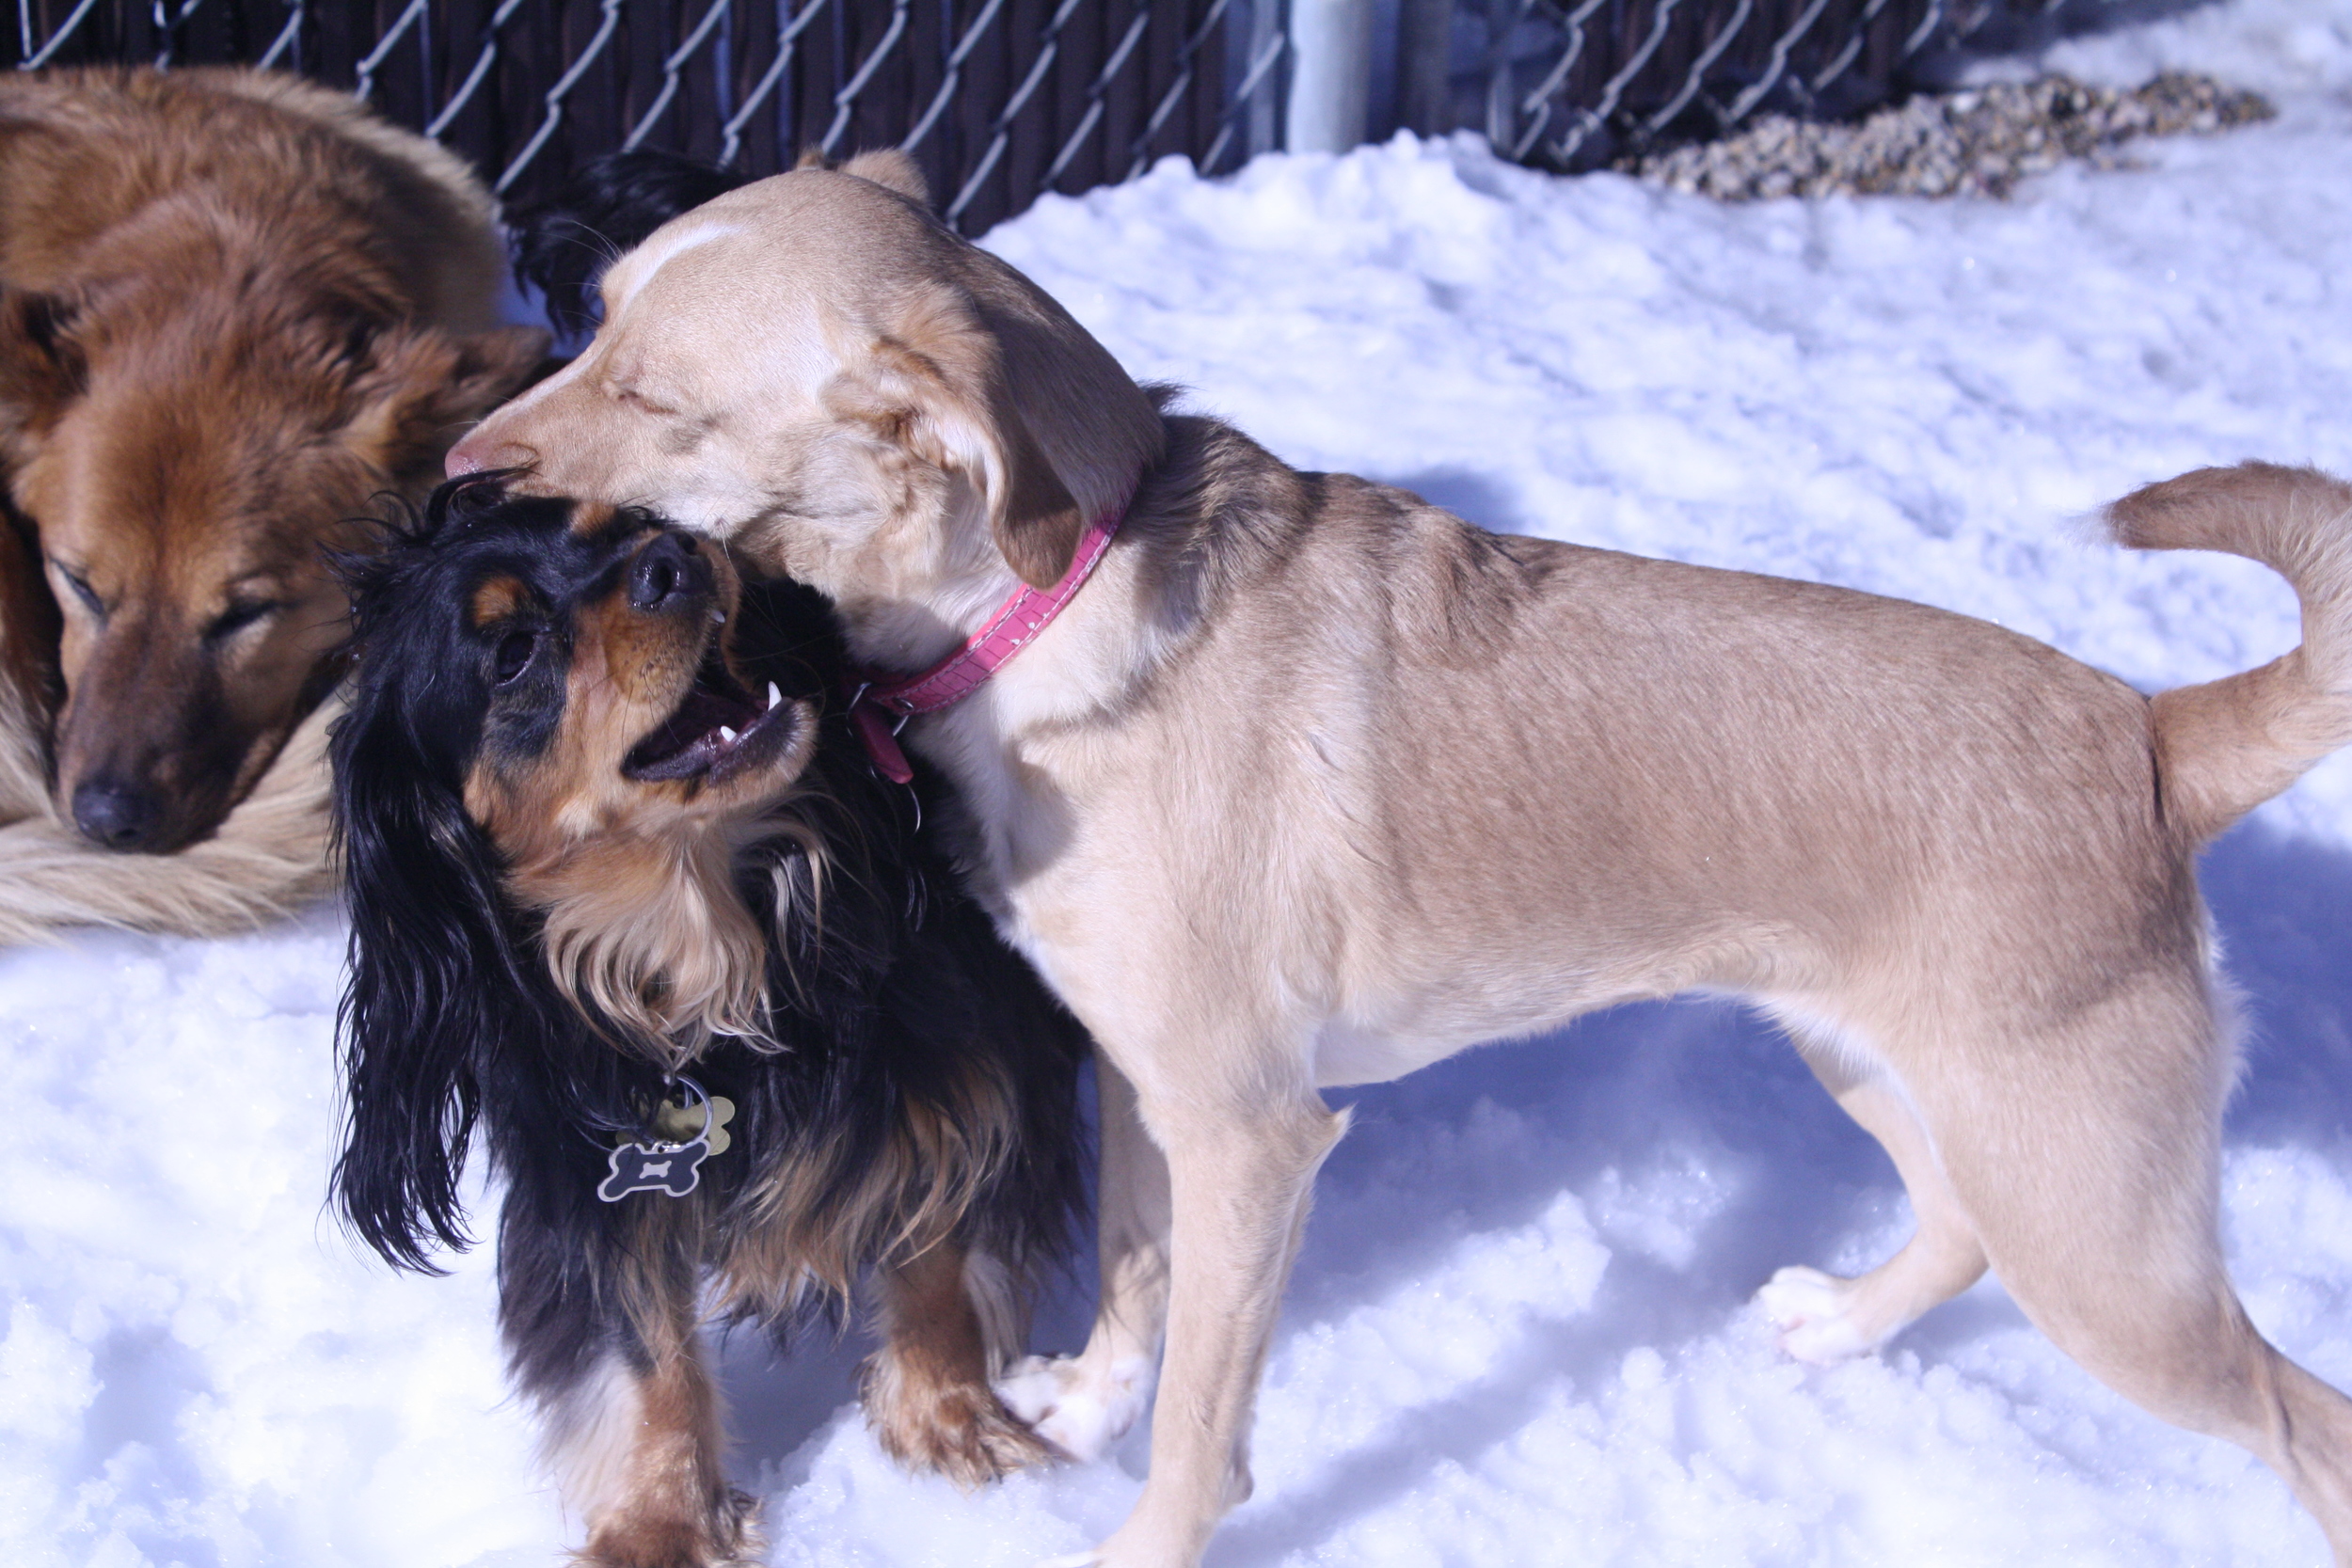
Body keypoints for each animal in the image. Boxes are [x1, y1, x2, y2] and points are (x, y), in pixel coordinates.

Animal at [326, 479, 1087, 1568]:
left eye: (625, 529)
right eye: (511, 650)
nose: (673, 559)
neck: (711, 941)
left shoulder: (966, 1067)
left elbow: (938, 1241)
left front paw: (947, 1418)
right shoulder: (591, 1172)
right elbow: (642, 1353)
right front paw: (663, 1524)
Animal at [449, 162, 2352, 1568]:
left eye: (656, 395)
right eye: (591, 317)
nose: (460, 482)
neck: (1060, 603)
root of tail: (2156, 736)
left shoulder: (1254, 1137)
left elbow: (1203, 1424)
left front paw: (1143, 1521)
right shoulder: (1144, 1087)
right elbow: (1133, 1278)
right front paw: (1080, 1404)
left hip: (2100, 1237)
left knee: (2296, 1418)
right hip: (1897, 1079)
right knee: (1952, 1228)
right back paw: (1844, 1326)